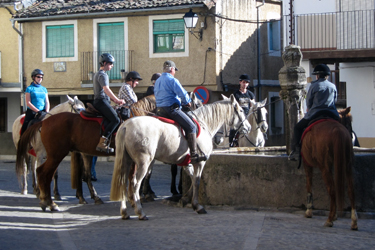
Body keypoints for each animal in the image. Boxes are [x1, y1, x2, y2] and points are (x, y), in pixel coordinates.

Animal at [15, 94, 157, 212]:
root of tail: (44, 121)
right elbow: (135, 178)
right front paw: (137, 199)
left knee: (43, 172)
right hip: (54, 154)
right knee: (42, 172)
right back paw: (49, 202)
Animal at [110, 94, 251, 221]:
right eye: (241, 110)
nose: (248, 127)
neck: (204, 123)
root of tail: (126, 125)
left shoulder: (187, 163)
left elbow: (192, 178)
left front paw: (188, 199)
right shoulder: (199, 162)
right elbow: (197, 180)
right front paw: (197, 205)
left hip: (127, 161)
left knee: (123, 182)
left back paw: (124, 212)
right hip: (143, 162)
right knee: (135, 183)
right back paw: (140, 212)